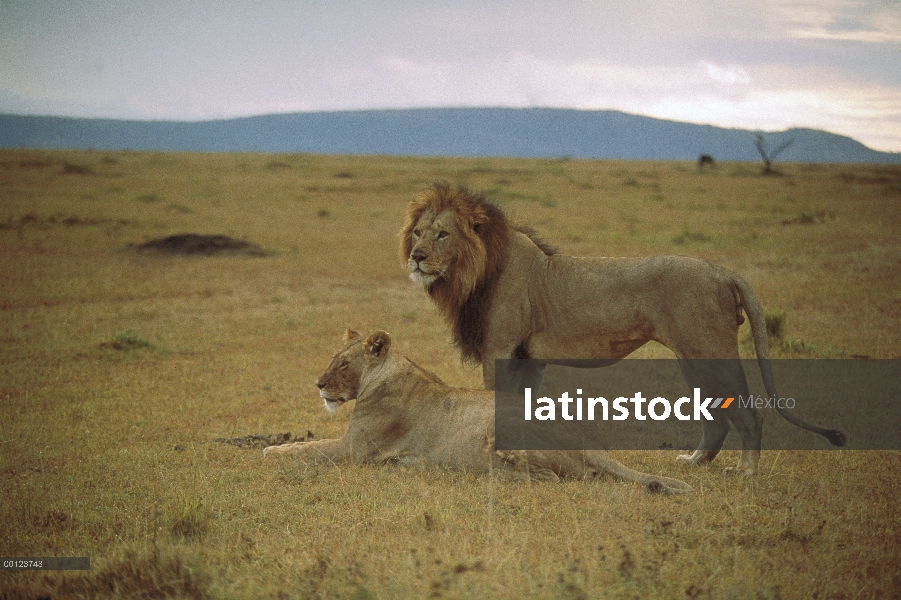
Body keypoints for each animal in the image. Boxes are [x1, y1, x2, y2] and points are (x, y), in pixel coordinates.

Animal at [264, 330, 692, 494]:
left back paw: (495, 472)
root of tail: (589, 443)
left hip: (504, 427)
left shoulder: (355, 450)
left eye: (343, 364)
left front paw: (270, 451)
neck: (383, 374)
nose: (318, 385)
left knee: (547, 479)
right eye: (332, 359)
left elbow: (308, 450)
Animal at [400, 182, 844, 474]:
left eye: (443, 234)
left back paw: (746, 471)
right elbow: (521, 407)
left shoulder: (501, 350)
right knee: (717, 417)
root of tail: (722, 271)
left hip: (708, 352)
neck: (472, 275)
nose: (416, 257)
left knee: (749, 415)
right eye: (418, 233)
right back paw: (694, 462)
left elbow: (499, 403)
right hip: (692, 358)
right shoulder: (528, 358)